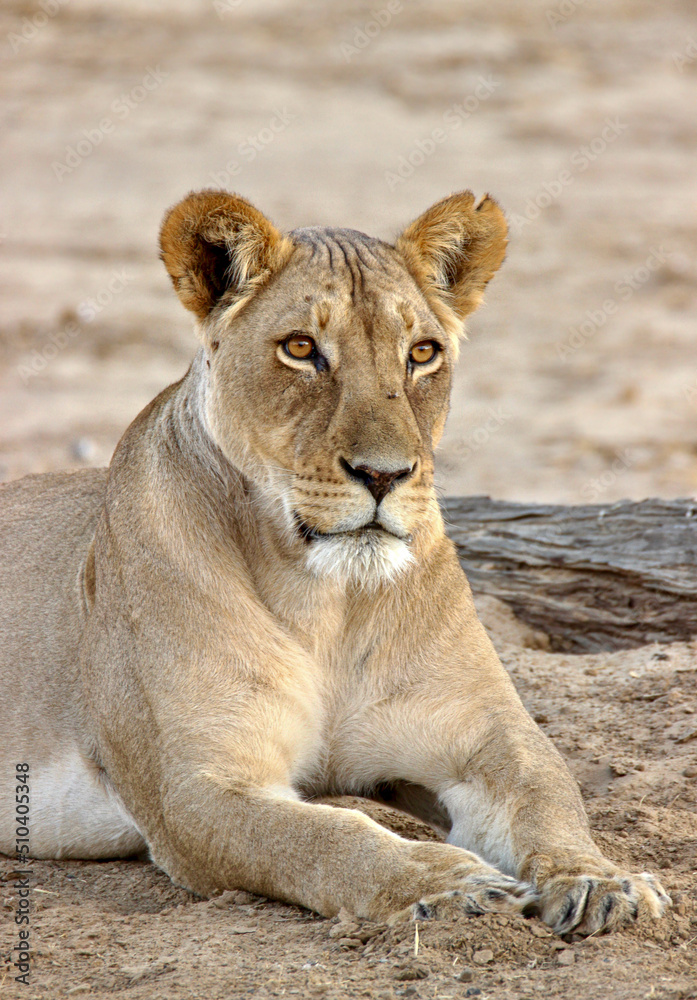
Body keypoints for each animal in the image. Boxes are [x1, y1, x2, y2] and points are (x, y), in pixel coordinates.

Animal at [0, 189, 670, 935]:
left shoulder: (482, 736)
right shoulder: (196, 790)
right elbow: (329, 835)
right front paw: (447, 883)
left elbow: (548, 794)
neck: (327, 601)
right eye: (300, 348)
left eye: (422, 352)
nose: (384, 475)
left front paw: (600, 880)